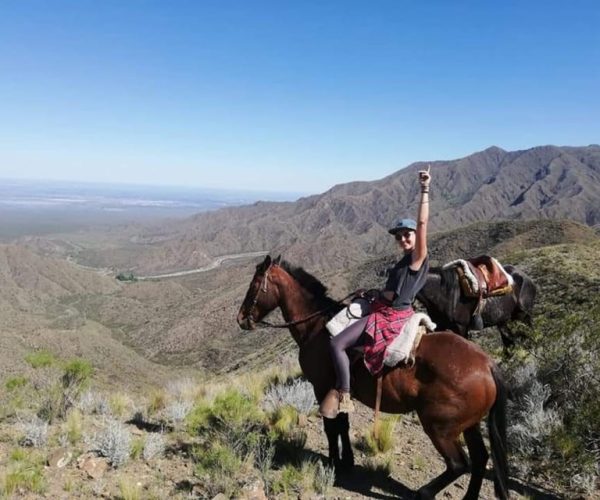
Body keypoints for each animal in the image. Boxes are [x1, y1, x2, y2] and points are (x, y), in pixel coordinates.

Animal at [237, 256, 508, 498]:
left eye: (254, 284)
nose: (241, 319)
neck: (316, 327)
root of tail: (487, 364)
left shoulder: (321, 387)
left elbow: (331, 428)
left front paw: (333, 463)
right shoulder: (341, 390)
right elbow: (343, 425)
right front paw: (347, 461)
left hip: (439, 427)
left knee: (459, 464)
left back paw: (423, 492)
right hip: (469, 424)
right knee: (480, 459)